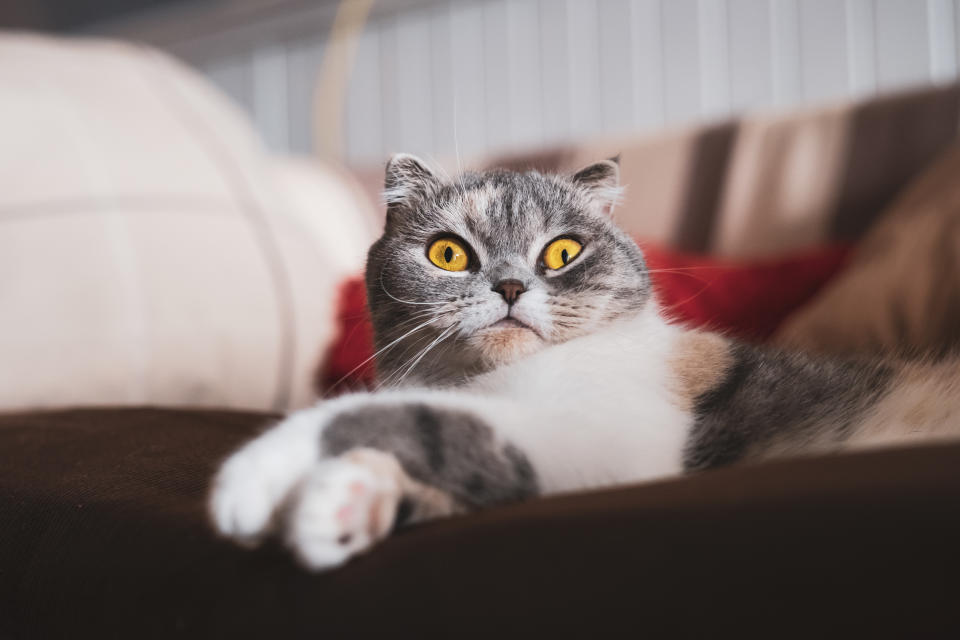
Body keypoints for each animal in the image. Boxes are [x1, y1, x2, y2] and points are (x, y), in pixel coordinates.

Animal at [208, 154, 960, 568]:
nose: (511, 286)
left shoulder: (604, 435)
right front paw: (345, 503)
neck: (494, 379)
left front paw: (258, 476)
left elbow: (414, 416)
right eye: (448, 253)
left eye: (563, 251)